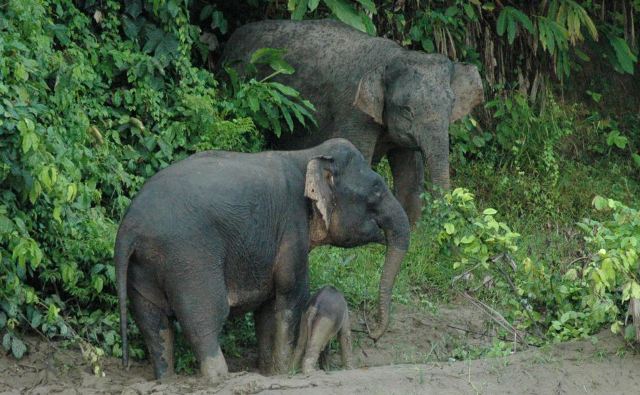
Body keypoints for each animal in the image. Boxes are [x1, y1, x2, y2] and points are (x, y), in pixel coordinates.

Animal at [115, 139, 410, 384]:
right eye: (376, 192)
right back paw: (222, 378)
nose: (372, 334)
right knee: (203, 317)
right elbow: (290, 294)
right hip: (189, 258)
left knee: (153, 322)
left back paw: (167, 380)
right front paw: (284, 372)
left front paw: (270, 372)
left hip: (144, 265)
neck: (309, 154)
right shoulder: (291, 227)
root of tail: (129, 227)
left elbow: (268, 307)